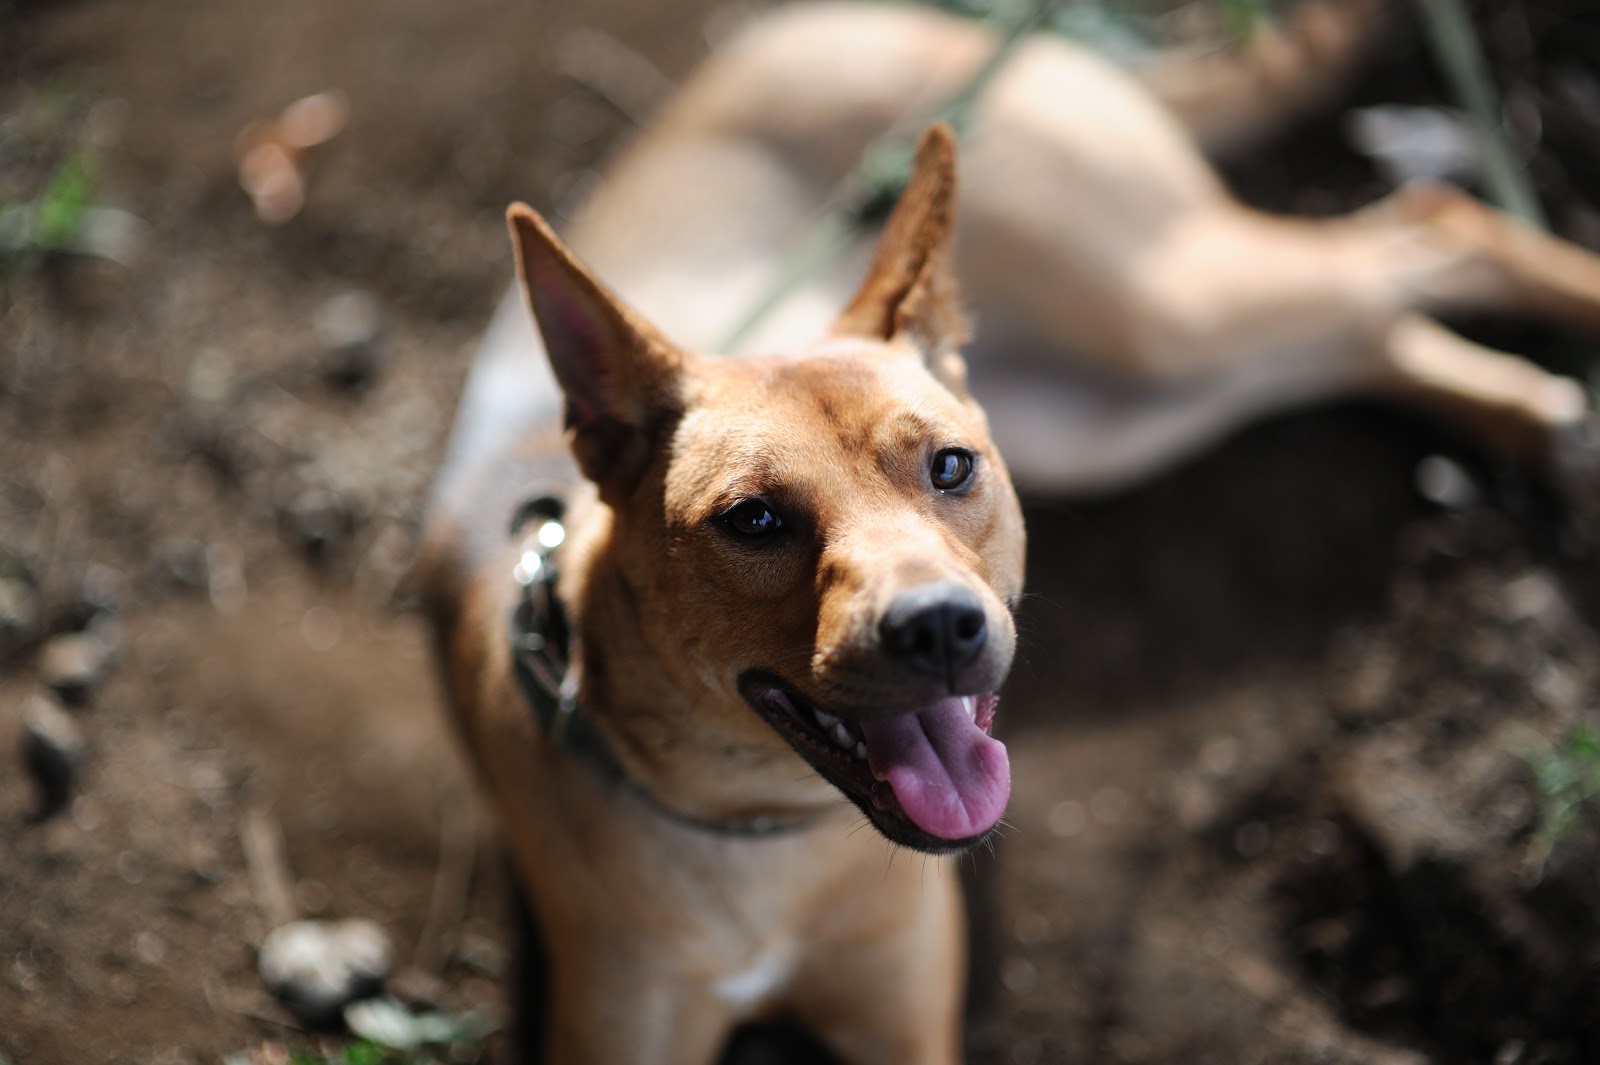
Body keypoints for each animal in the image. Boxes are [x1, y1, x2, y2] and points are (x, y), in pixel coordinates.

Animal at [421, 4, 1600, 1061]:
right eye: (752, 520)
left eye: (949, 467)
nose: (941, 628)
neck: (766, 839)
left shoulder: (906, 1023)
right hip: (1118, 406)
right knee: (1372, 311)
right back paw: (1536, 417)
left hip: (1156, 310)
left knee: (1421, 231)